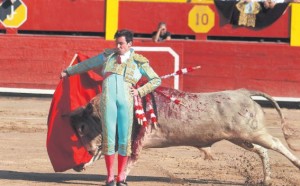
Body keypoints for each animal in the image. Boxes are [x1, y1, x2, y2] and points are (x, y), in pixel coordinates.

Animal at [68, 87, 300, 185]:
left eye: (82, 127)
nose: (86, 149)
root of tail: (244, 92)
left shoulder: (135, 141)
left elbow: (129, 160)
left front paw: (119, 179)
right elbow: (101, 154)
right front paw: (83, 165)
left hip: (252, 132)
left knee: (276, 143)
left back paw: (295, 164)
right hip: (240, 137)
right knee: (262, 150)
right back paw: (266, 179)